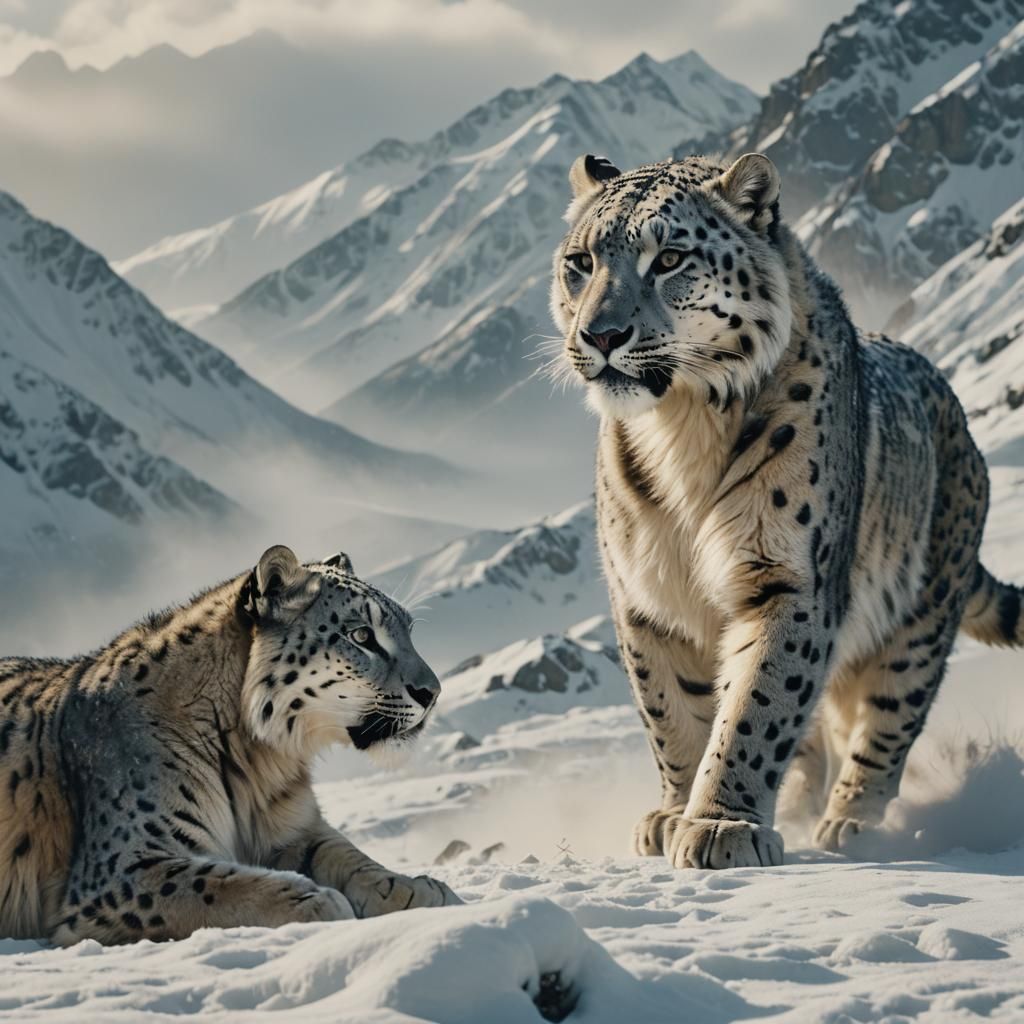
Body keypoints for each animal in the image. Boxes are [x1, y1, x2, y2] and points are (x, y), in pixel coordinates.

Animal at [0, 544, 460, 944]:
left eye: (409, 629)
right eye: (362, 635)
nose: (433, 692)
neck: (260, 762)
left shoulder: (294, 829)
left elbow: (346, 855)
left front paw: (418, 890)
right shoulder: (123, 869)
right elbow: (216, 885)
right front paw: (321, 902)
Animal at [550, 151, 1023, 869]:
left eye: (670, 258)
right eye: (580, 261)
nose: (601, 334)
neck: (681, 428)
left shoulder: (786, 577)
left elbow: (759, 703)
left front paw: (720, 826)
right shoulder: (647, 597)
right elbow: (670, 711)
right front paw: (671, 813)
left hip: (915, 625)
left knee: (886, 722)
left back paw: (852, 823)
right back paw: (803, 801)